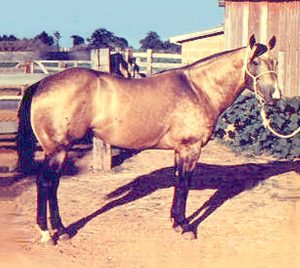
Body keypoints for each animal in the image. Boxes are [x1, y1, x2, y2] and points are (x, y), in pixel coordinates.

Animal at [17, 34, 282, 244]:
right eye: (254, 62)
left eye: (275, 61)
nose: (276, 96)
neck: (199, 89)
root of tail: (42, 83)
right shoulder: (191, 148)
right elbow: (185, 183)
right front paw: (185, 227)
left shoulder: (180, 150)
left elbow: (178, 182)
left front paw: (175, 221)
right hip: (58, 149)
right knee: (46, 183)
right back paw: (50, 233)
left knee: (51, 185)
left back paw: (59, 231)